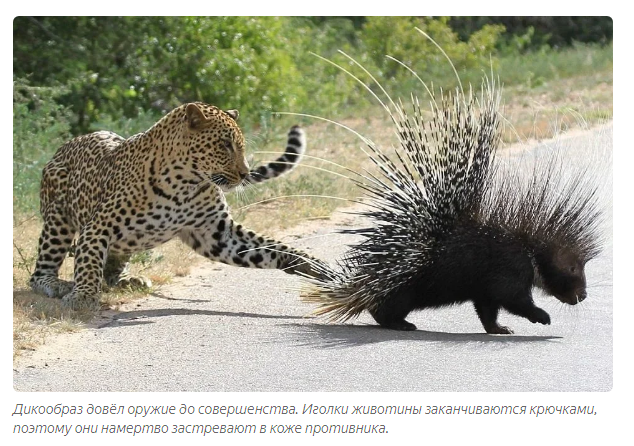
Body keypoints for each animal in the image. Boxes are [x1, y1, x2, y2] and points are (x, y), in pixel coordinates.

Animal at [29, 102, 326, 308]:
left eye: (240, 146)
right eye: (225, 145)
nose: (245, 174)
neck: (185, 182)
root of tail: (63, 147)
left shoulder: (217, 233)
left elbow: (272, 247)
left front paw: (312, 265)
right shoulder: (99, 226)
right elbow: (88, 262)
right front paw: (83, 297)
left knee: (112, 263)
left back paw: (128, 279)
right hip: (58, 218)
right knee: (40, 271)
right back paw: (55, 283)